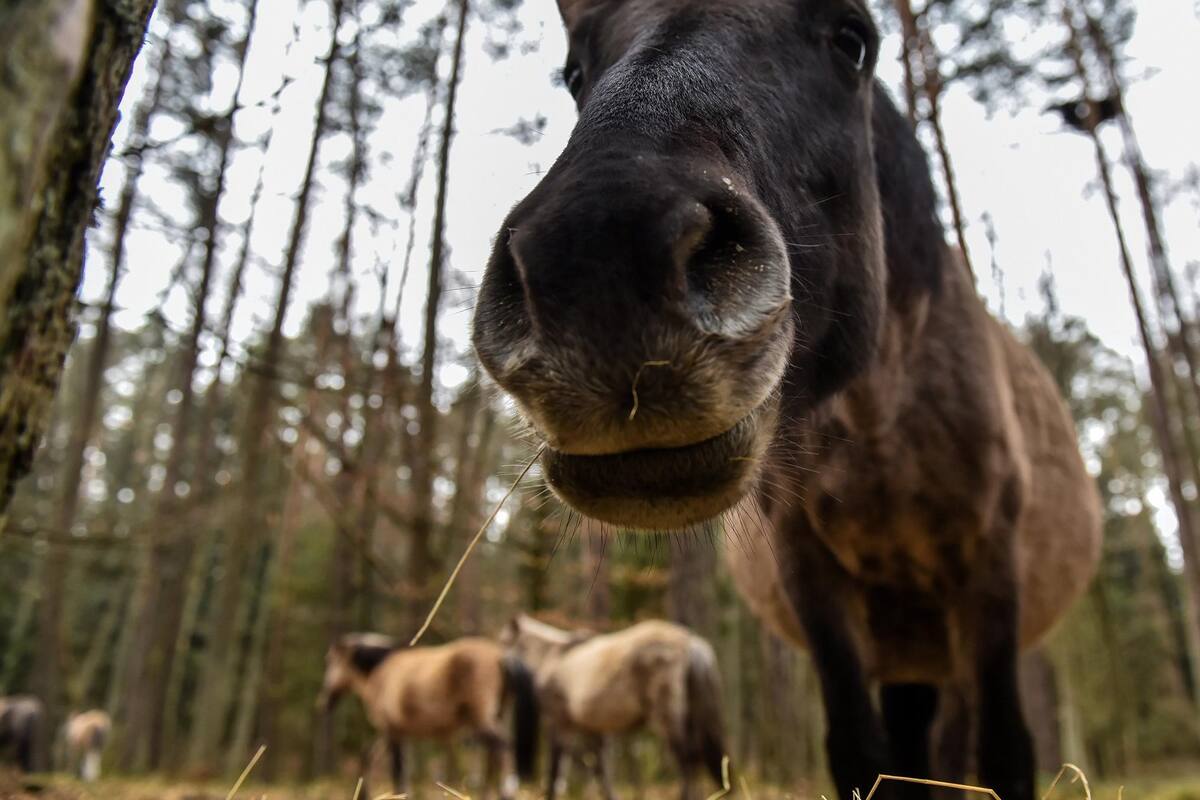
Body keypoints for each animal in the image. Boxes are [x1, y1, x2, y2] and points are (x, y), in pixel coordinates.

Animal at [317, 633, 538, 799]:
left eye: (329, 661)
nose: (323, 702)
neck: (381, 670)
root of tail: (502, 655)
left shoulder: (392, 729)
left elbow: (397, 770)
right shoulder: (393, 731)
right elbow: (369, 757)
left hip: (481, 719)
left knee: (503, 747)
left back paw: (507, 792)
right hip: (496, 715)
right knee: (493, 755)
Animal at [501, 615, 727, 800]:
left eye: (504, 641)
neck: (553, 658)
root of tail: (689, 641)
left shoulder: (560, 723)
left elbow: (556, 770)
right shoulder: (592, 730)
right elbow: (601, 771)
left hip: (666, 717)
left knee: (686, 759)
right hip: (689, 716)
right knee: (695, 757)